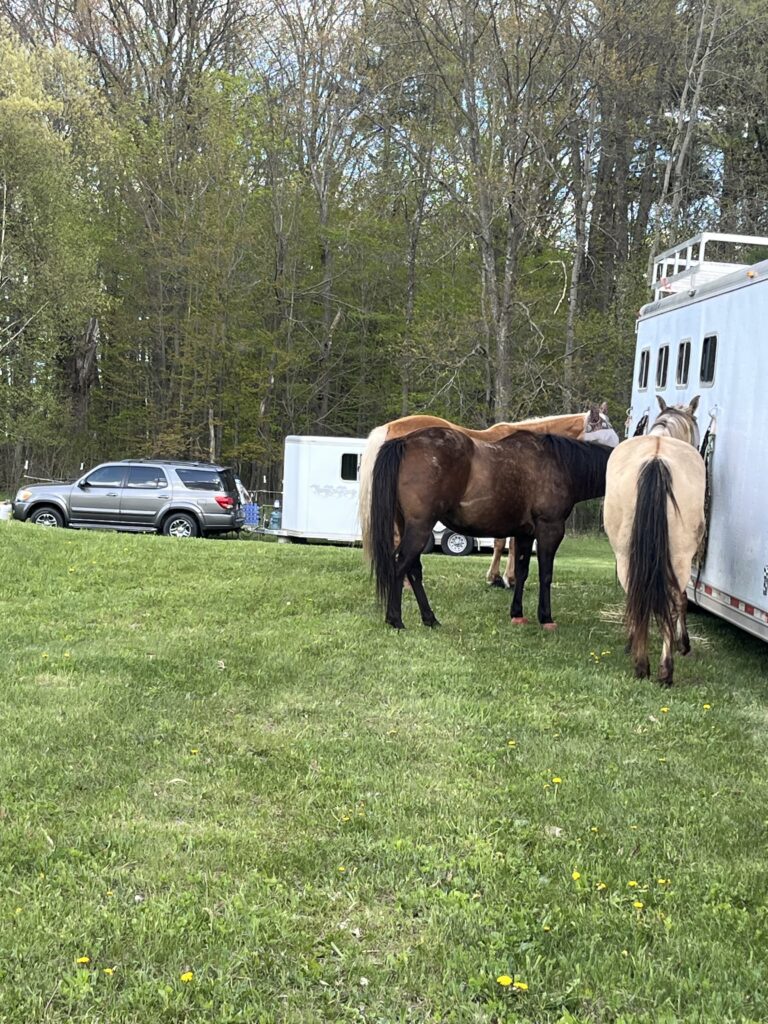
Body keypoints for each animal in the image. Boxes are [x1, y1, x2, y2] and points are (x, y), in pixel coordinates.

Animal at [370, 425, 618, 630]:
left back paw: (430, 619)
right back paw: (395, 619)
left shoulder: (525, 534)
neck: (559, 464)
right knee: (401, 564)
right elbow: (545, 574)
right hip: (420, 527)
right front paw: (546, 618)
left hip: (408, 526)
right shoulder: (551, 529)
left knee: (413, 569)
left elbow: (522, 572)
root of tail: (406, 442)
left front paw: (517, 614)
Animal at [606, 397, 708, 688]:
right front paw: (683, 643)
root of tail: (656, 458)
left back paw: (643, 664)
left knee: (637, 595)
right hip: (679, 558)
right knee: (673, 602)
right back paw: (663, 669)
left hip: (625, 555)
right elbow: (683, 601)